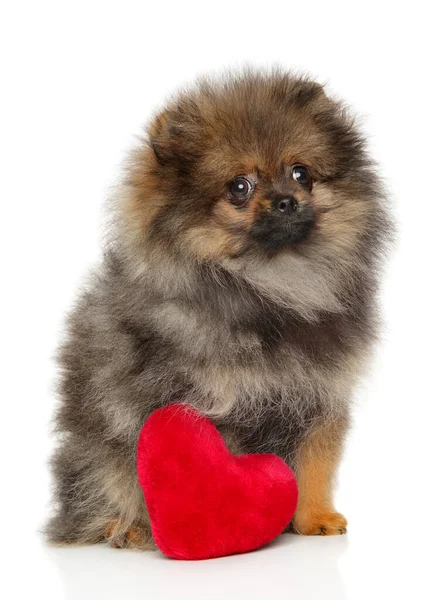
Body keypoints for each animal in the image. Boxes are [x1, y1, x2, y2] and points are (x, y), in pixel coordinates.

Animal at [46, 70, 392, 548]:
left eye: (301, 174)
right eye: (239, 187)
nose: (287, 200)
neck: (272, 287)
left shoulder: (318, 398)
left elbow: (314, 467)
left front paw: (313, 518)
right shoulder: (209, 405)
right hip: (94, 448)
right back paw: (126, 527)